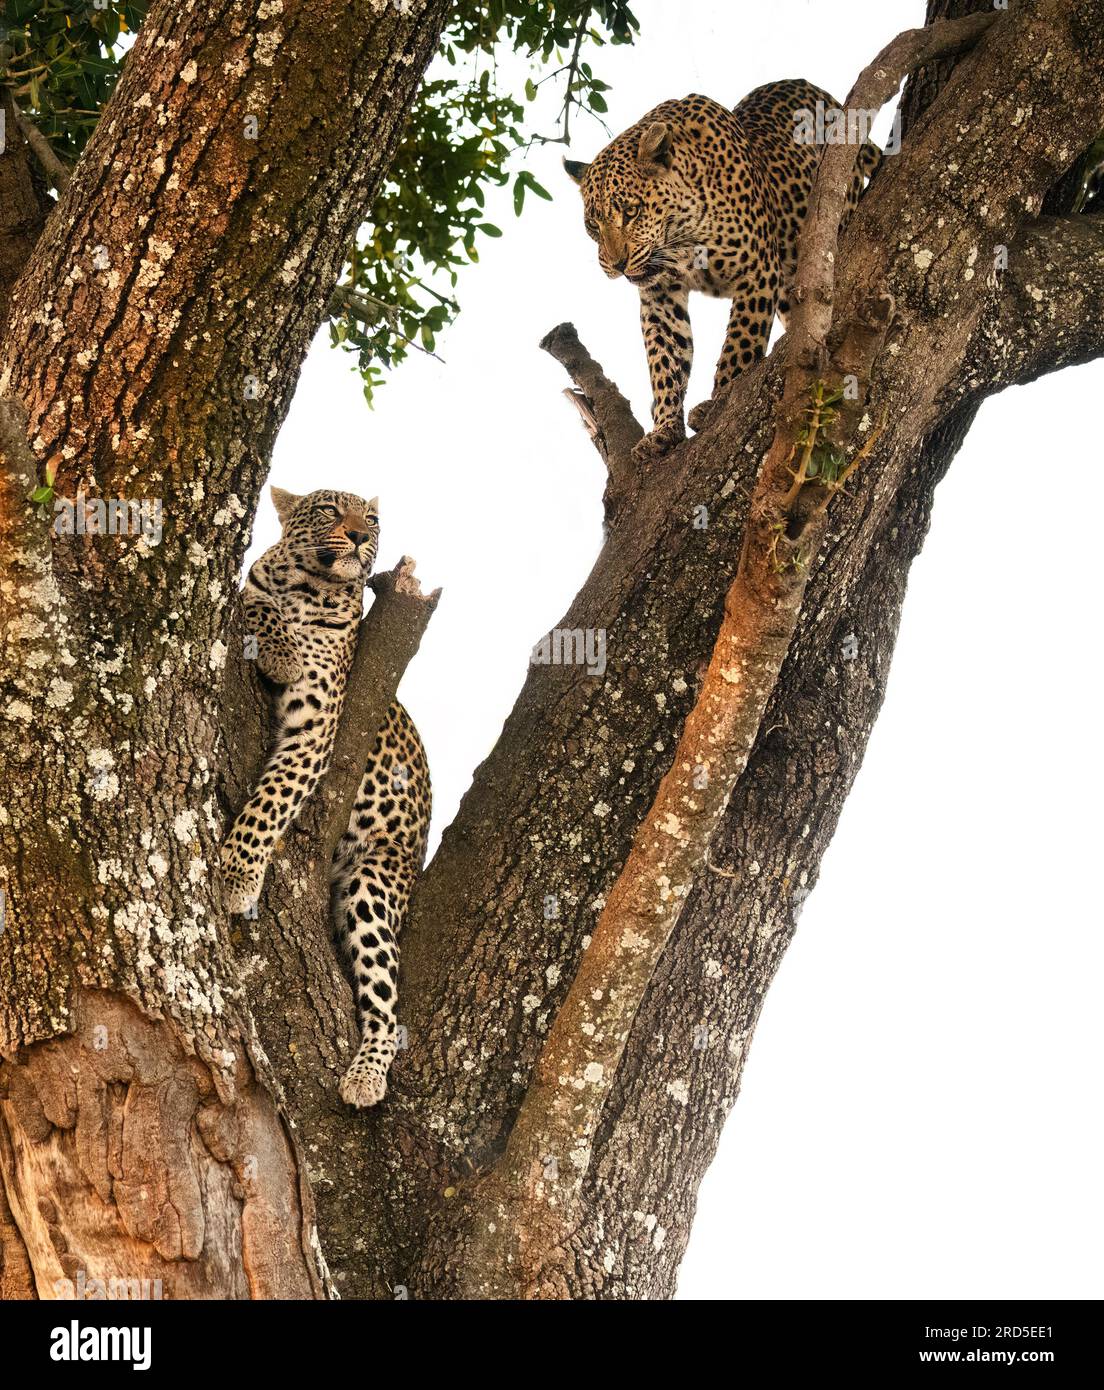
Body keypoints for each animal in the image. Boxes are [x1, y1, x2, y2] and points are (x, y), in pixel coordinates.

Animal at [219, 486, 431, 1106]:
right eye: (330, 511)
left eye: (373, 519)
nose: (359, 536)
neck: (305, 587)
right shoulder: (256, 589)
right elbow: (251, 596)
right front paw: (279, 646)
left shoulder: (315, 731)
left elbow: (268, 805)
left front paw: (236, 880)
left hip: (375, 883)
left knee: (386, 1005)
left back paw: (366, 1077)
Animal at [564, 79, 884, 461]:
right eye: (592, 225)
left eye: (631, 211)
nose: (617, 265)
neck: (680, 237)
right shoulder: (659, 296)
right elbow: (664, 359)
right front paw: (664, 429)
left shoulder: (757, 271)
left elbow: (740, 343)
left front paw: (719, 403)